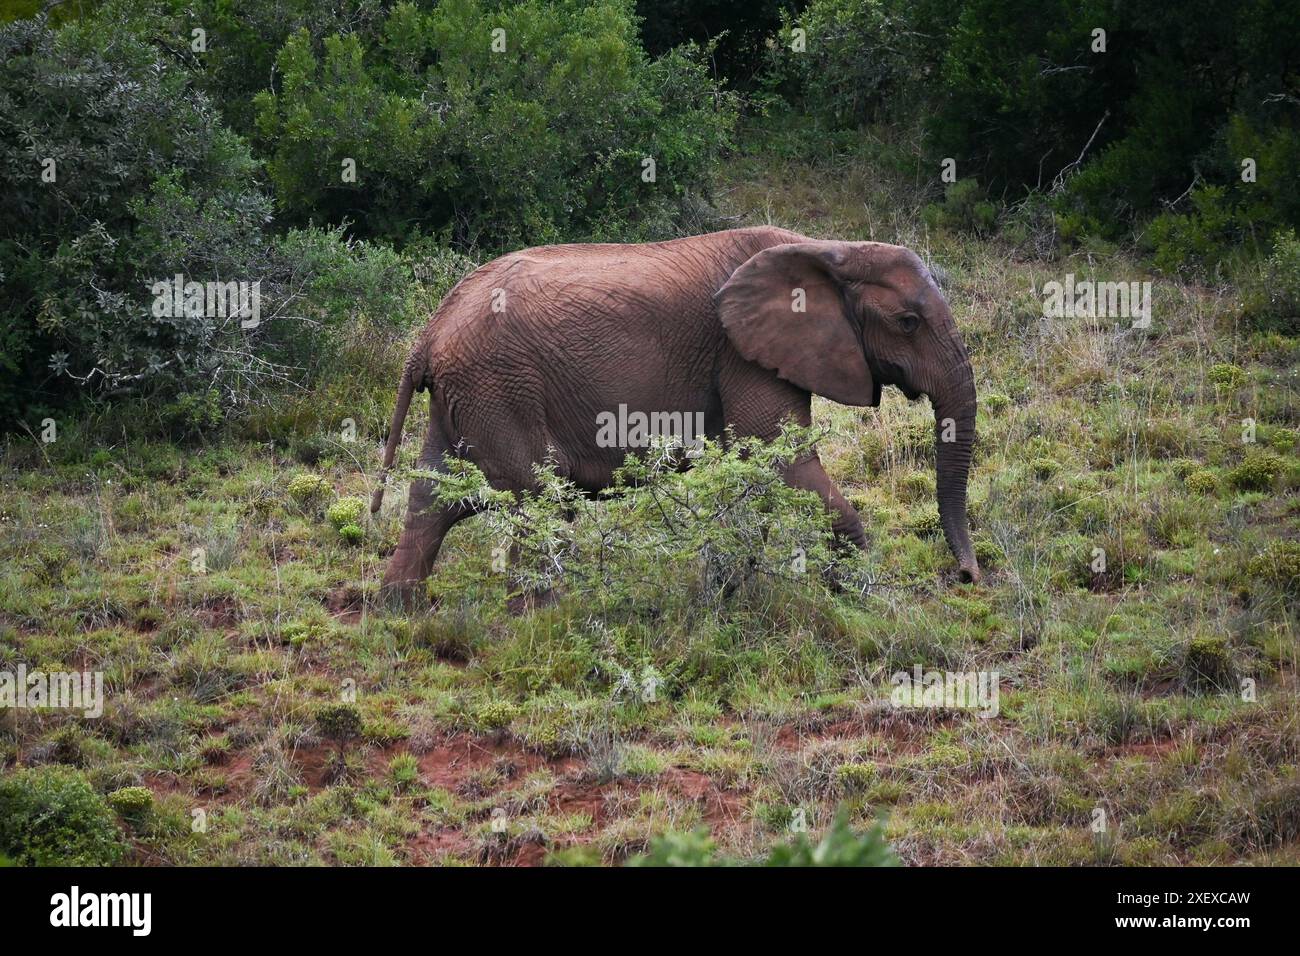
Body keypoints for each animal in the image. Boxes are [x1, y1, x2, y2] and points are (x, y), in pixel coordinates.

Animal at [371, 227, 977, 600]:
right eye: (907, 323)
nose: (968, 576)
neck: (829, 249)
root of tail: (429, 334)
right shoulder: (741, 353)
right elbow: (781, 460)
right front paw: (851, 595)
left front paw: (737, 586)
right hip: (500, 387)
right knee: (540, 495)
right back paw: (541, 615)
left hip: (467, 395)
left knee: (434, 496)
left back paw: (400, 610)